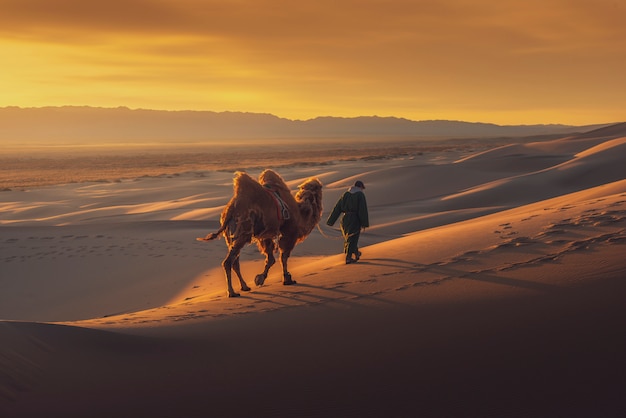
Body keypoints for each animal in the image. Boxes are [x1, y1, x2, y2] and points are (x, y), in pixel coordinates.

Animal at [197, 169, 322, 298]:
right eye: (317, 187)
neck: (301, 213)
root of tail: (229, 211)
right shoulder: (289, 233)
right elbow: (283, 257)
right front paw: (286, 279)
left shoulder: (266, 236)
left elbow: (271, 258)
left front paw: (261, 278)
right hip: (243, 233)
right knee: (228, 262)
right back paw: (232, 292)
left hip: (232, 236)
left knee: (235, 262)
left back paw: (245, 286)